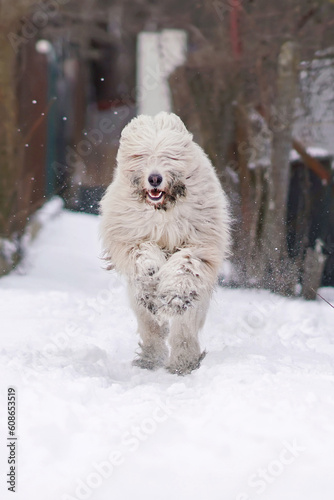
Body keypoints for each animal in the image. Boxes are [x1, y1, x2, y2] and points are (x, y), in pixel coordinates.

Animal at [98, 111, 230, 374]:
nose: (155, 178)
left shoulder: (199, 241)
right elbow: (142, 253)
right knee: (151, 327)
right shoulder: (129, 234)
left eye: (170, 156)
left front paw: (175, 293)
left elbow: (186, 265)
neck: (162, 209)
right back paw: (150, 357)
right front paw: (151, 273)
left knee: (184, 329)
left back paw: (183, 362)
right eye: (141, 155)